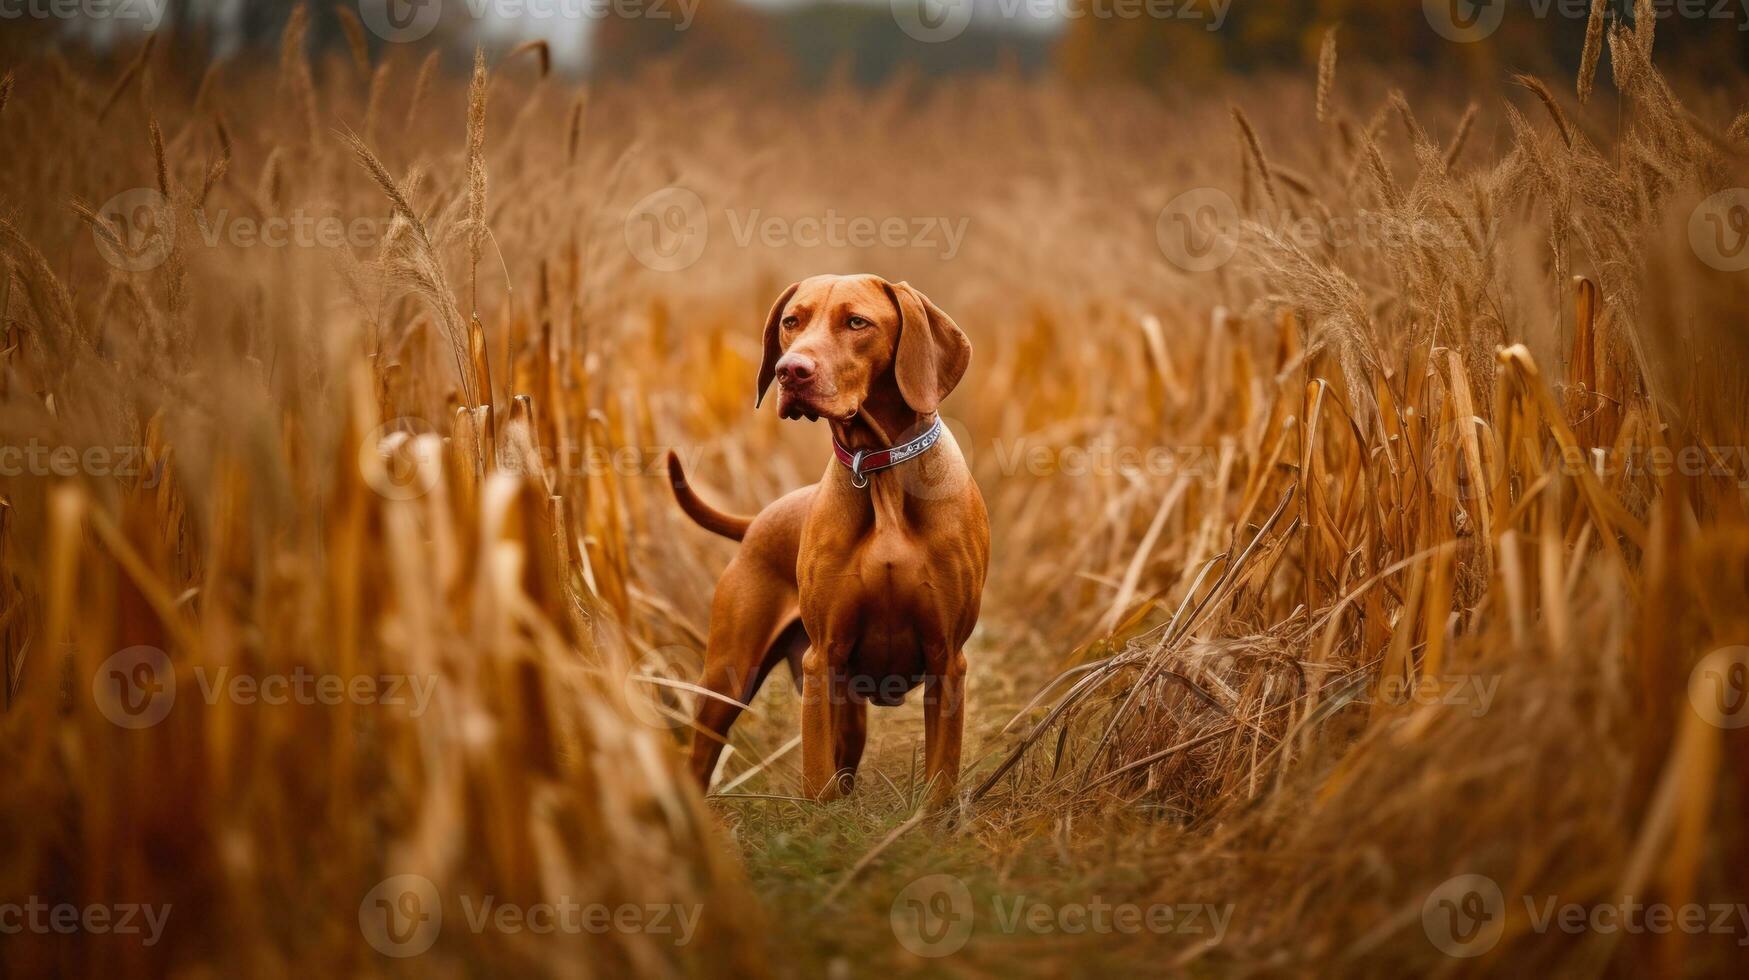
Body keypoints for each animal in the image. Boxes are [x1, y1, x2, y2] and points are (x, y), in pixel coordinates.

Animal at [664, 273, 986, 805]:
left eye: (857, 322)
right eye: (792, 322)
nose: (789, 371)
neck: (878, 471)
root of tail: (757, 521)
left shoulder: (947, 662)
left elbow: (942, 778)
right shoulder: (822, 662)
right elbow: (816, 777)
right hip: (729, 677)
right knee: (701, 753)